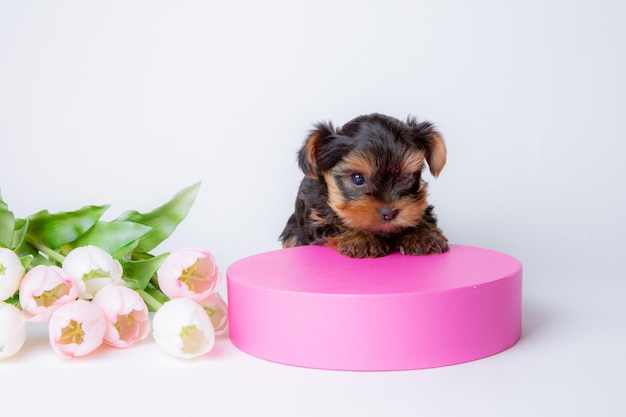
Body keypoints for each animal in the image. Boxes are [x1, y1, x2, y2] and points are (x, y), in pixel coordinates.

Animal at [280, 112, 448, 258]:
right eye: (357, 178)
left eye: (407, 176)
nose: (389, 214)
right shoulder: (315, 216)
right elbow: (338, 223)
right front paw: (362, 238)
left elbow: (419, 213)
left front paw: (423, 234)